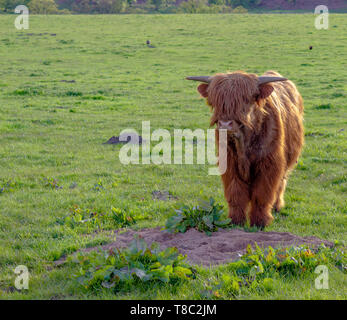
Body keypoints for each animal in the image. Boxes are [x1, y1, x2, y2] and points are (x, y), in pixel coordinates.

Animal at [188, 71, 304, 229]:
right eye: (215, 100)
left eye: (245, 100)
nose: (225, 124)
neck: (243, 142)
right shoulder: (229, 163)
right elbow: (236, 193)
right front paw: (236, 221)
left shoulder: (269, 164)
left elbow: (262, 194)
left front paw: (260, 222)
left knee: (281, 182)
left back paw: (277, 206)